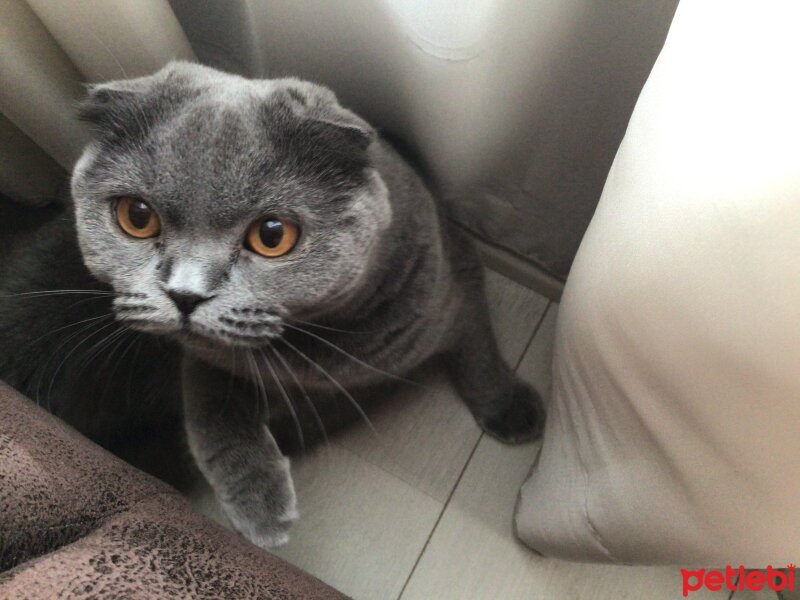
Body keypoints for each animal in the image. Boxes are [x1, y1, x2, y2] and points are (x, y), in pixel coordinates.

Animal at [0, 62, 544, 548]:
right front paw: (260, 510)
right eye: (137, 217)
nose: (185, 294)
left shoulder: (456, 278)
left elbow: (478, 351)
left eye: (272, 235)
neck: (313, 347)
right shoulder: (204, 361)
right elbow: (210, 412)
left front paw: (512, 412)